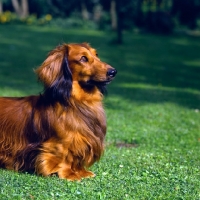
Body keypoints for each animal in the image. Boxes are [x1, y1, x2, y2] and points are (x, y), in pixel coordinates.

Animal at [0, 43, 116, 180]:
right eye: (83, 58)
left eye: (96, 55)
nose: (113, 71)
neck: (75, 102)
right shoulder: (60, 143)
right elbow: (64, 156)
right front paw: (69, 173)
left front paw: (81, 171)